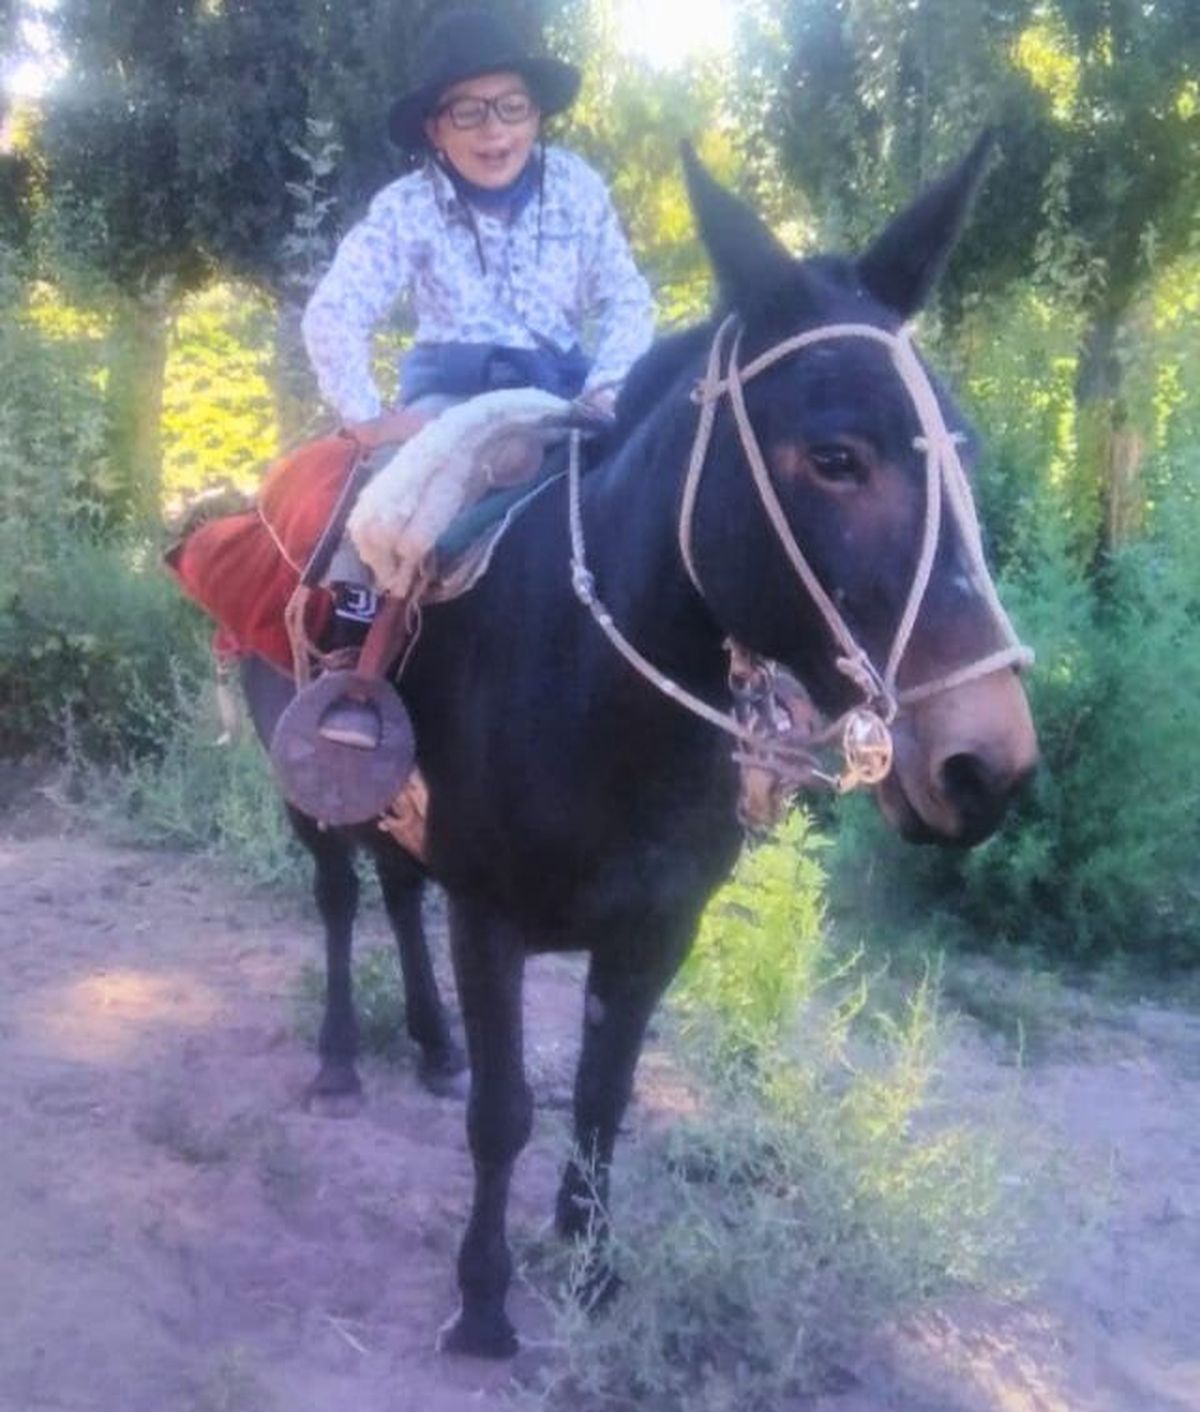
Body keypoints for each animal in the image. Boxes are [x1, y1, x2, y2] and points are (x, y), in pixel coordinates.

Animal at [240, 136, 1037, 1359]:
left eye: (966, 449)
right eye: (836, 457)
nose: (984, 762)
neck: (601, 691)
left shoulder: (660, 925)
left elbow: (603, 1096)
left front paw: (592, 1260)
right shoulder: (493, 918)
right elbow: (508, 1113)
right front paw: (484, 1303)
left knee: (396, 890)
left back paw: (430, 1043)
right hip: (305, 782)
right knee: (338, 897)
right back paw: (340, 1062)